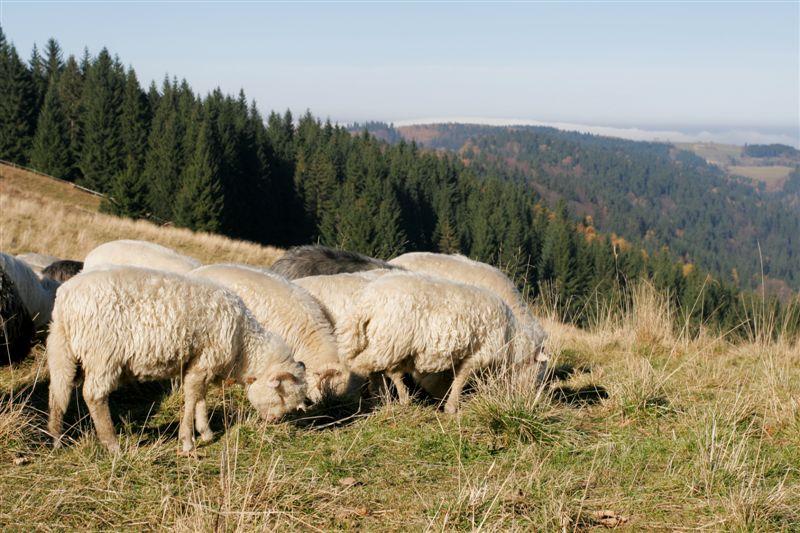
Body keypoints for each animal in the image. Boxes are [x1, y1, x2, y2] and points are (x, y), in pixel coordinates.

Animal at [47, 268, 306, 450]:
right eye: (282, 395)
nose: (272, 422)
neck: (243, 345)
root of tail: (65, 298)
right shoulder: (204, 360)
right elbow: (192, 397)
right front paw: (188, 441)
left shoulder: (200, 364)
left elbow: (200, 397)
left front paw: (205, 432)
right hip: (103, 353)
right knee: (94, 395)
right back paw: (112, 445)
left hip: (62, 349)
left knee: (58, 390)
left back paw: (57, 439)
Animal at [334, 272, 540, 414]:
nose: (528, 395)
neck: (511, 338)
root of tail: (365, 304)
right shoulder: (478, 354)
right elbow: (461, 378)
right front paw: (451, 407)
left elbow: (447, 380)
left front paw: (444, 400)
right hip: (390, 341)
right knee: (364, 366)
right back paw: (383, 398)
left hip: (388, 345)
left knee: (384, 371)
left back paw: (391, 399)